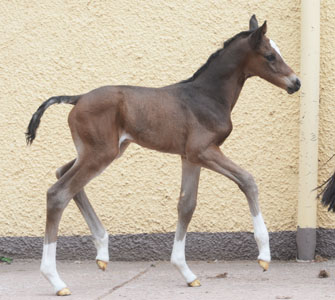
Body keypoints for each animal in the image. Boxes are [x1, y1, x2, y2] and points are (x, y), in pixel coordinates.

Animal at [26, 15, 302, 296]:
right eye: (270, 56)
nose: (296, 82)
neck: (207, 96)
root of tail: (78, 98)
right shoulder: (204, 151)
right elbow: (247, 180)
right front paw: (264, 257)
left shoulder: (190, 158)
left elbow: (186, 205)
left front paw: (186, 272)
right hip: (101, 153)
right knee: (59, 193)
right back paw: (56, 280)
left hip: (101, 151)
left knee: (62, 174)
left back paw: (102, 251)